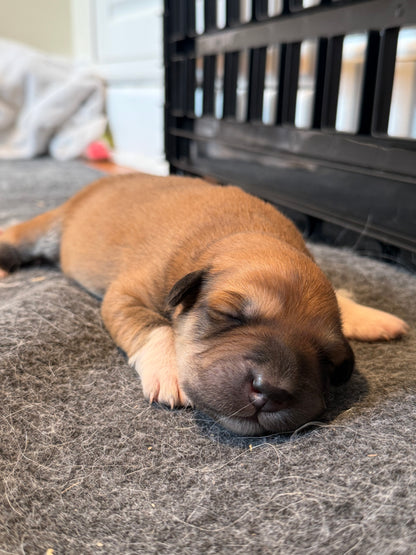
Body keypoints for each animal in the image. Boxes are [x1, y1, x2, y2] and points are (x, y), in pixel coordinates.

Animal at [0, 176, 410, 436]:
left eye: (329, 359)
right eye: (229, 315)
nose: (270, 391)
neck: (240, 233)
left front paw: (369, 316)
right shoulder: (125, 295)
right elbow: (155, 326)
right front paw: (168, 370)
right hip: (47, 228)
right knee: (17, 234)